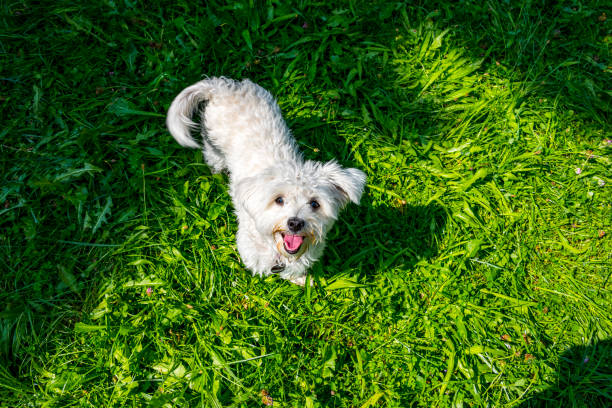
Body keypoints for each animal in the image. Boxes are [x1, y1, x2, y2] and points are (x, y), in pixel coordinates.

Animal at [165, 76, 366, 284]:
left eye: (314, 204)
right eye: (279, 200)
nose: (295, 223)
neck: (275, 248)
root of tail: (221, 87)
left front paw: (301, 280)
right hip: (213, 144)